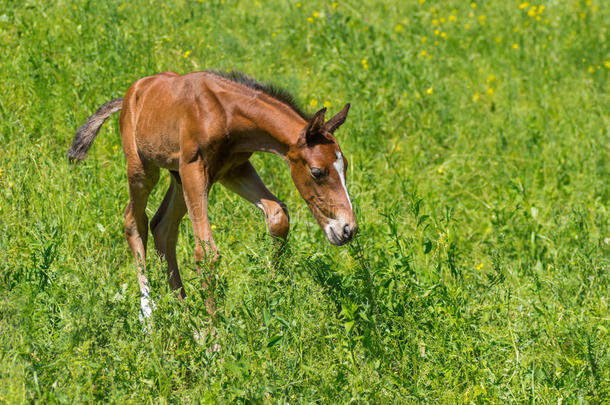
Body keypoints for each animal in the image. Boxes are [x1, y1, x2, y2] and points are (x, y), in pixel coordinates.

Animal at [69, 71, 356, 318]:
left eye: (344, 166)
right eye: (317, 172)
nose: (347, 229)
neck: (225, 113)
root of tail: (130, 94)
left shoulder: (233, 169)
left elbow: (277, 216)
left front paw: (270, 295)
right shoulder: (194, 167)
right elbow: (205, 252)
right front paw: (214, 341)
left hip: (178, 177)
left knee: (162, 225)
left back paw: (185, 316)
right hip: (143, 169)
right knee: (134, 220)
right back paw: (149, 314)